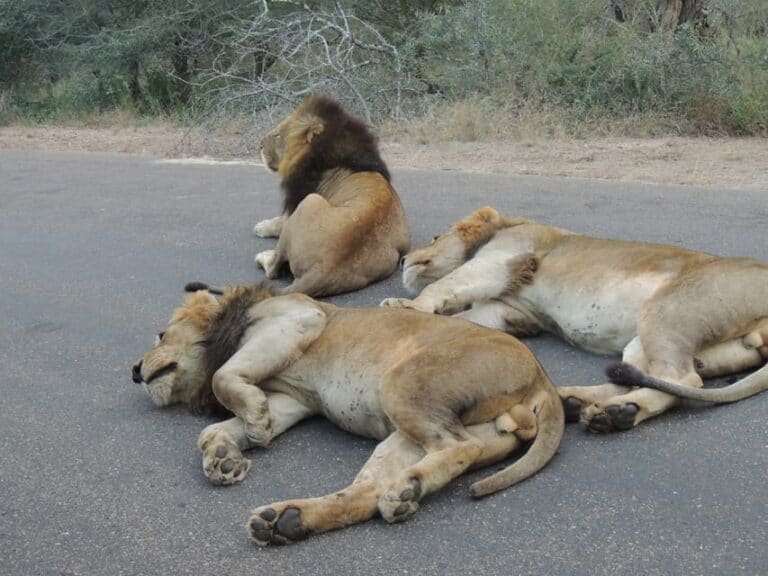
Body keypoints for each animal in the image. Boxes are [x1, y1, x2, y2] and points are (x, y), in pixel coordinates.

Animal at [132, 282, 564, 548]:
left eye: (161, 334)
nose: (134, 371)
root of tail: (542, 377)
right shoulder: (292, 399)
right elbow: (213, 430)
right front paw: (225, 458)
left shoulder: (295, 321)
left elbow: (223, 377)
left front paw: (252, 421)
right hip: (407, 429)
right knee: (366, 493)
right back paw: (287, 522)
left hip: (402, 383)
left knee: (462, 446)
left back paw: (406, 487)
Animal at [252, 94, 412, 296]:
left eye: (278, 135)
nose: (259, 145)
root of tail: (324, 269)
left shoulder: (298, 199)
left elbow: (280, 221)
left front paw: (262, 226)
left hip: (310, 201)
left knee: (273, 269)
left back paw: (263, 256)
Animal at [382, 207, 768, 432]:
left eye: (435, 237)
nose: (403, 260)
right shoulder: (509, 309)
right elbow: (469, 314)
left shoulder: (499, 260)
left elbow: (445, 284)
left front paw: (404, 306)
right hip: (656, 340)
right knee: (641, 376)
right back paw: (580, 403)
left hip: (668, 312)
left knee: (684, 380)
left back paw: (616, 412)